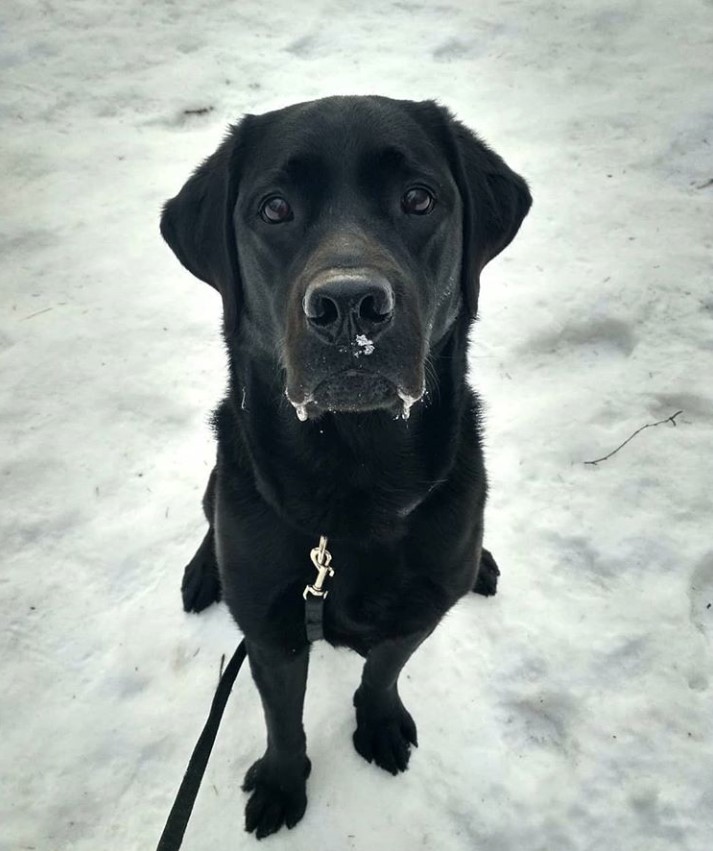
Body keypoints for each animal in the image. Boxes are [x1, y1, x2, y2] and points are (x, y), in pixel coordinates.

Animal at [161, 96, 528, 844]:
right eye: (273, 208)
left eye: (418, 198)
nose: (351, 304)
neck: (352, 485)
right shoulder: (271, 634)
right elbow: (282, 717)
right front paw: (281, 781)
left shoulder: (419, 611)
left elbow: (382, 672)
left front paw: (380, 724)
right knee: (210, 513)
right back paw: (204, 570)